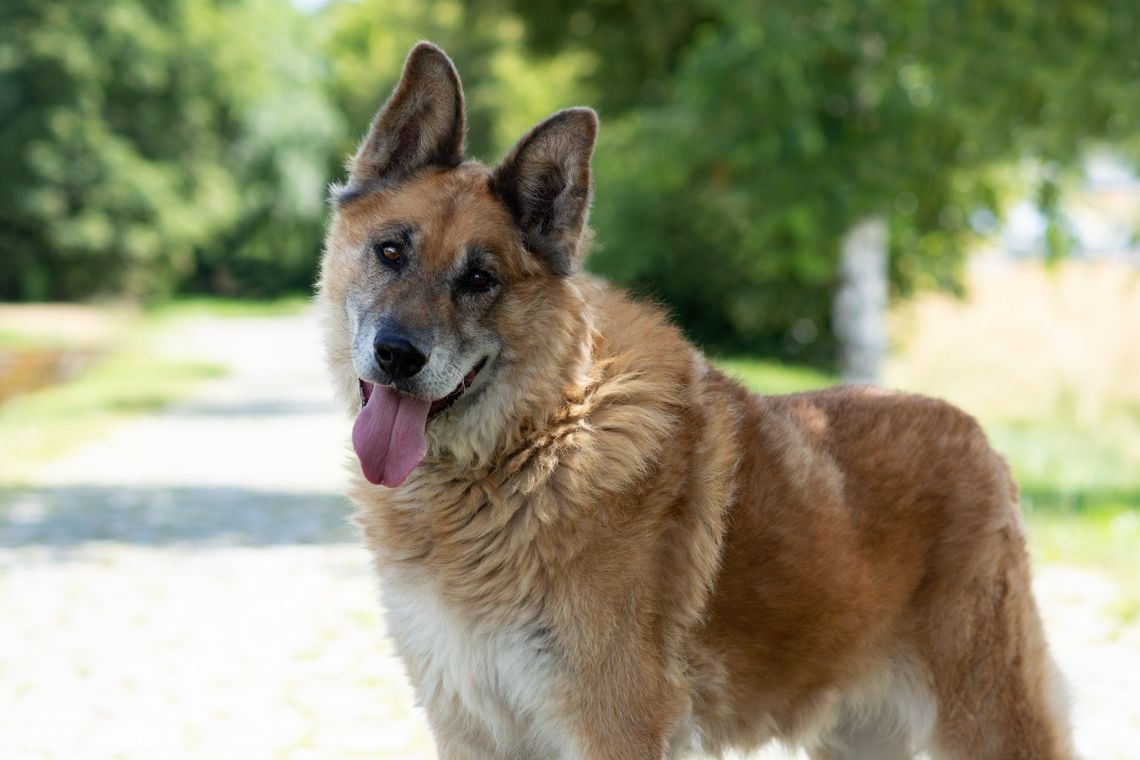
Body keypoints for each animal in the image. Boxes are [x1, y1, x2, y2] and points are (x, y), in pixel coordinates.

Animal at [316, 43, 1071, 760]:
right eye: (391, 252)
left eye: (480, 279)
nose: (398, 355)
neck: (534, 445)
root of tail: (976, 434)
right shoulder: (471, 726)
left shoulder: (613, 727)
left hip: (987, 717)